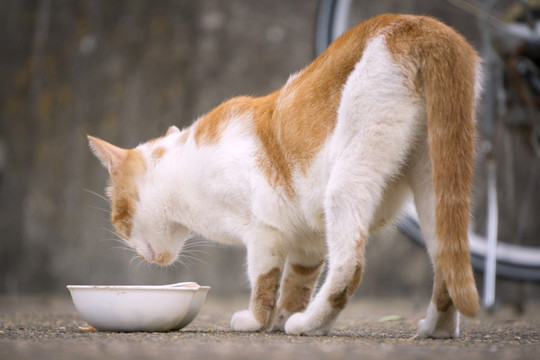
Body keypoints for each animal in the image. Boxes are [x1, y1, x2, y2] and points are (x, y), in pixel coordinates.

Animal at [87, 14, 480, 338]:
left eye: (119, 221)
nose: (141, 259)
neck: (185, 170)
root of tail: (421, 25)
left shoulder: (264, 231)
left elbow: (264, 282)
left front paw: (258, 321)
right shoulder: (308, 240)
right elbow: (296, 285)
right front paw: (280, 318)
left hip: (348, 178)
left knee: (350, 265)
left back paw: (310, 325)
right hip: (435, 183)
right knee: (447, 259)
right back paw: (437, 329)